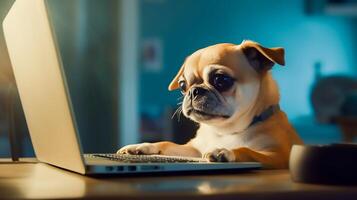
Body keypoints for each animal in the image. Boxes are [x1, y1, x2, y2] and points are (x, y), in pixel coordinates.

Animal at [118, 39, 302, 168]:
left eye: (221, 80)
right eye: (183, 86)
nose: (194, 91)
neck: (226, 132)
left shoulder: (277, 155)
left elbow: (247, 150)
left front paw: (225, 151)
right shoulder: (193, 150)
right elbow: (168, 143)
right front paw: (143, 146)